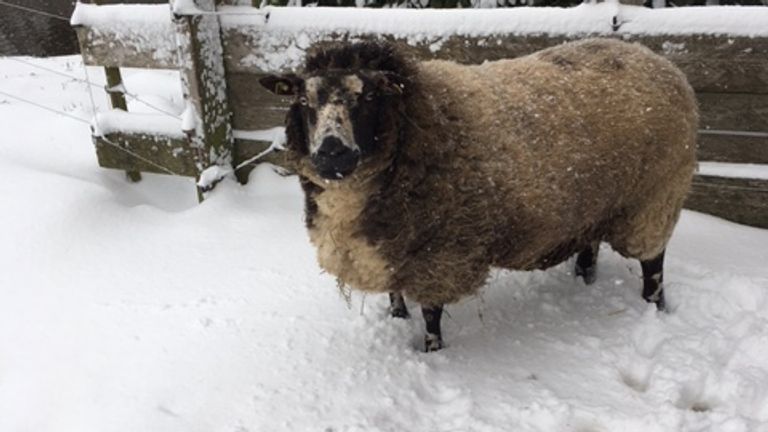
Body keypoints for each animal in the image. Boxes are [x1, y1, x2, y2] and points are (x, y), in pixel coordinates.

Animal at [260, 38, 700, 352]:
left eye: (368, 96)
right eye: (303, 100)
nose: (331, 152)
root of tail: (659, 61)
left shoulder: (440, 254)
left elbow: (432, 314)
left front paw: (431, 352)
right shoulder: (395, 247)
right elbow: (395, 293)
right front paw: (397, 320)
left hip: (654, 198)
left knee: (653, 264)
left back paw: (654, 308)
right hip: (595, 203)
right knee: (590, 247)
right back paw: (584, 281)